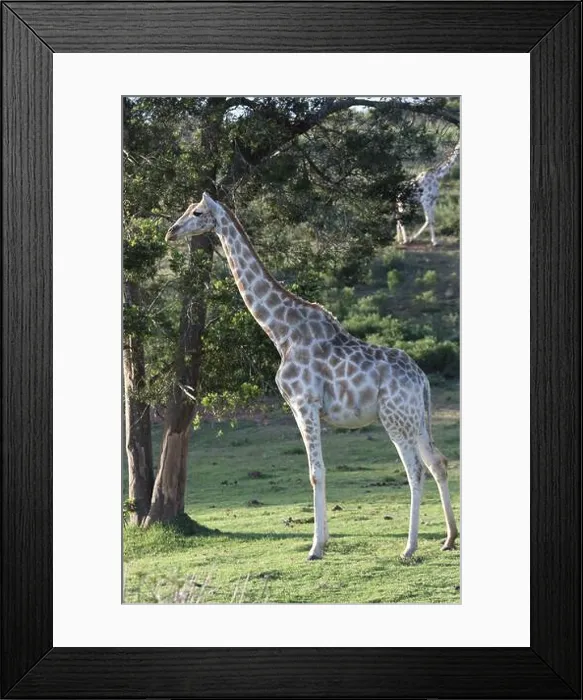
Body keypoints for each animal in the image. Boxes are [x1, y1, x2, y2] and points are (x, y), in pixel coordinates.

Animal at [166, 193, 458, 560]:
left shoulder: (304, 402)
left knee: (415, 470)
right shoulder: (303, 407)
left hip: (394, 418)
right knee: (437, 462)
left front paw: (316, 547)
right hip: (415, 418)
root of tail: (422, 380)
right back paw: (449, 538)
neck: (281, 332)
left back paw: (409, 547)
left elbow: (316, 472)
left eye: (197, 212)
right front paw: (325, 540)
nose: (171, 232)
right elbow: (317, 471)